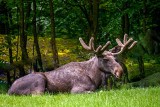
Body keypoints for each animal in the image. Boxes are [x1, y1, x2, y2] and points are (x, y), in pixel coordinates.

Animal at [8, 33, 137, 95]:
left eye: (115, 58)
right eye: (105, 59)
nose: (120, 71)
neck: (96, 78)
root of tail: (9, 91)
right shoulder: (76, 90)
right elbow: (95, 91)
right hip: (39, 80)